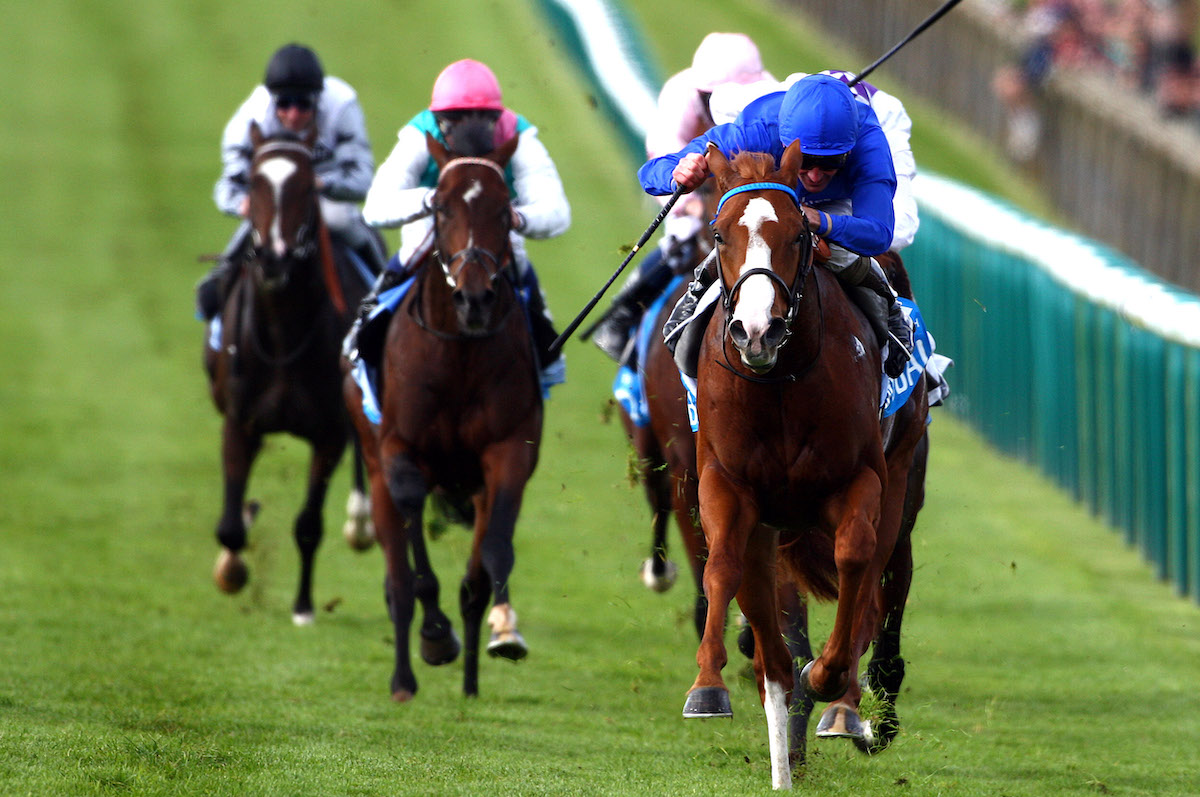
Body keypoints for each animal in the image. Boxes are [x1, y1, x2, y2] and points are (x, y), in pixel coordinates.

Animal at [201, 121, 372, 624]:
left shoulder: (329, 434)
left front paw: (303, 607)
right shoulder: (240, 423)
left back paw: (361, 522)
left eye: (306, 185)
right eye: (253, 181)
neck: (282, 334)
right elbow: (231, 525)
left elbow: (309, 524)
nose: (275, 257)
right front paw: (232, 569)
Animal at [343, 133, 540, 700]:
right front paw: (435, 634)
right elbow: (416, 573)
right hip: (374, 463)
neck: (459, 353)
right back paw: (404, 680)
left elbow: (492, 557)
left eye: (505, 210)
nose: (473, 299)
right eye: (442, 207)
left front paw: (501, 635)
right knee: (396, 580)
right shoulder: (400, 450)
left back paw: (471, 680)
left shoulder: (507, 452)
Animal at [676, 144, 926, 792]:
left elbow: (856, 560)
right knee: (771, 649)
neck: (782, 384)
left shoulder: (860, 480)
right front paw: (706, 687)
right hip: (769, 526)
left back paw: (842, 705)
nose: (756, 331)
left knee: (878, 579)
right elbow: (722, 567)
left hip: (901, 475)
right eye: (719, 233)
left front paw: (831, 680)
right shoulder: (729, 486)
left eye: (797, 235)